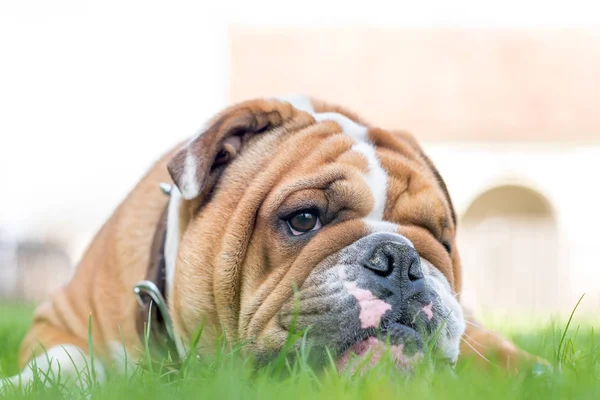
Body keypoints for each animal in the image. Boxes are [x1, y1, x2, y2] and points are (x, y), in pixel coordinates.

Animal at [1, 95, 544, 390]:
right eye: (303, 219)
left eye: (440, 240)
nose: (400, 258)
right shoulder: (58, 319)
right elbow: (67, 359)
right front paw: (26, 385)